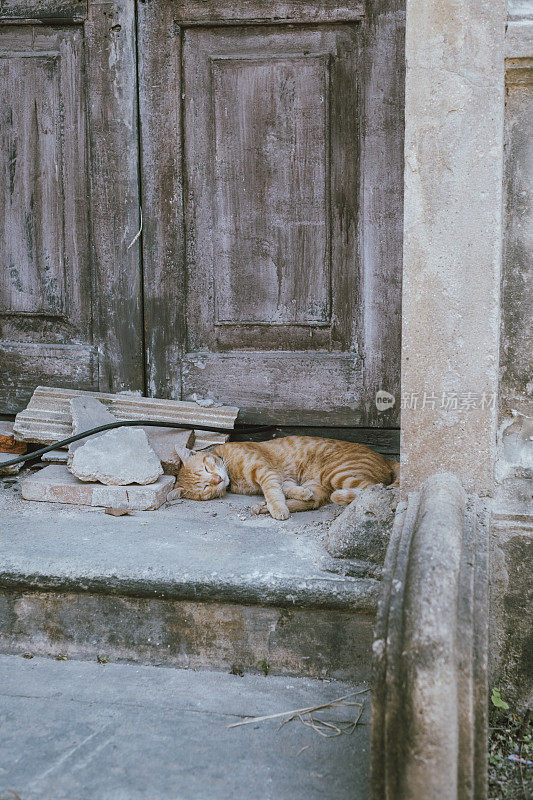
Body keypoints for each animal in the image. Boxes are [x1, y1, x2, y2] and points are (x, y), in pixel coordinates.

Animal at [172, 438, 396, 520]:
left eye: (206, 468)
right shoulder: (281, 476)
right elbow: (285, 488)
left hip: (337, 473)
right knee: (315, 501)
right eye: (205, 488)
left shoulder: (265, 470)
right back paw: (262, 507)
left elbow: (273, 491)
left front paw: (278, 508)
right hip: (321, 480)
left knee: (377, 488)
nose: (218, 480)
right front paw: (298, 494)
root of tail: (385, 458)